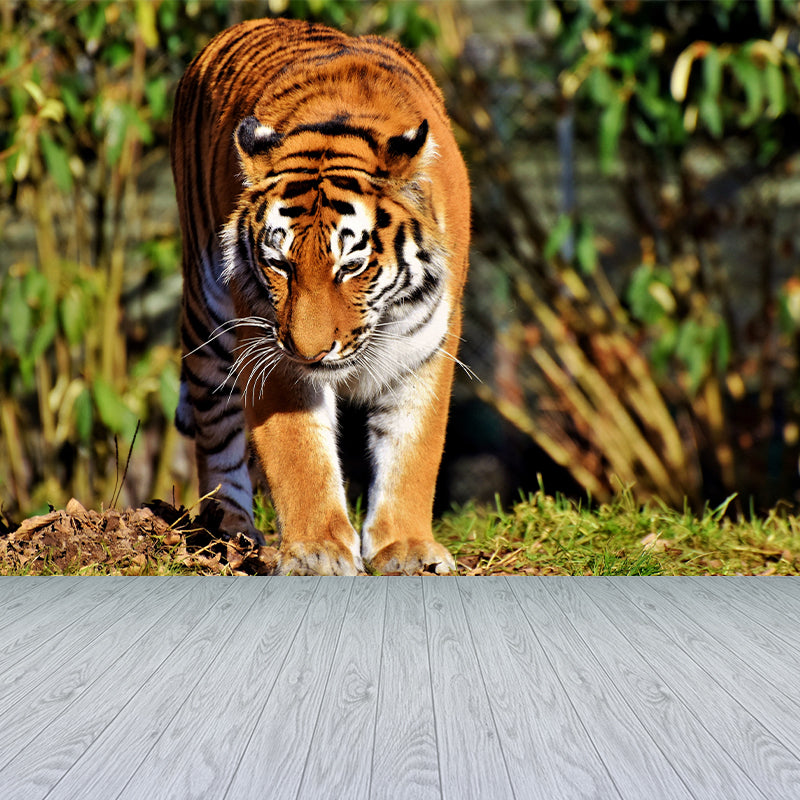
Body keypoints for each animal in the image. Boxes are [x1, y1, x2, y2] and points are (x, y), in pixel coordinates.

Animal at [170, 17, 470, 575]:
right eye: (279, 264)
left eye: (350, 265)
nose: (310, 352)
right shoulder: (270, 345)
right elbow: (299, 455)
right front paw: (317, 553)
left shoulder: (426, 345)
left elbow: (413, 447)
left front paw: (407, 548)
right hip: (208, 319)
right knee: (215, 431)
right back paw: (229, 530)